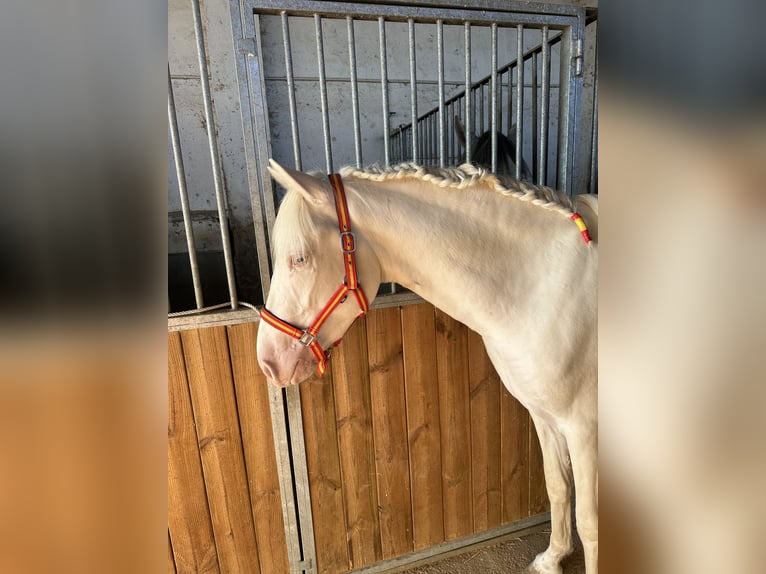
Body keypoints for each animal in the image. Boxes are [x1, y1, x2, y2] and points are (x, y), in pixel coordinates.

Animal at [258, 159, 600, 574]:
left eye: (300, 258)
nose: (268, 361)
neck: (541, 287)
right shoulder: (546, 417)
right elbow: (558, 488)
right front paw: (552, 558)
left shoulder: (584, 429)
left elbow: (590, 521)